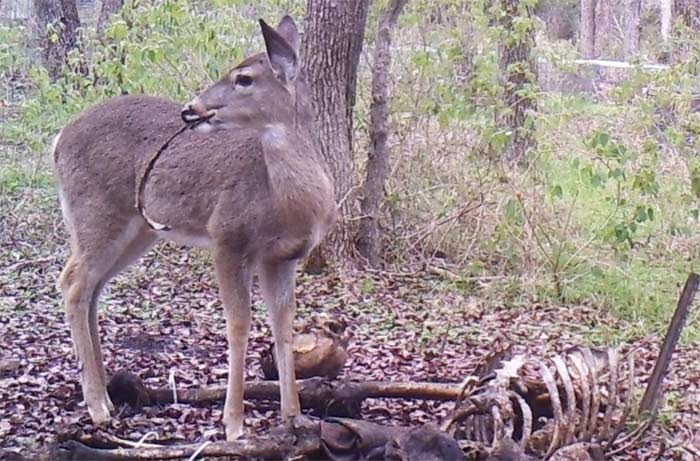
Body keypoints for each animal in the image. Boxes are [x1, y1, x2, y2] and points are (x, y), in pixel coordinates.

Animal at [51, 15, 336, 438]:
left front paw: (293, 416)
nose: (191, 109)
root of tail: (57, 140)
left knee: (91, 288)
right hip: (96, 212)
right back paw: (98, 406)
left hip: (138, 229)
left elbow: (283, 327)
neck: (287, 202)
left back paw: (107, 393)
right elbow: (239, 324)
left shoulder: (283, 258)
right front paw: (234, 424)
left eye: (244, 78)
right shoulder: (227, 237)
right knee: (72, 284)